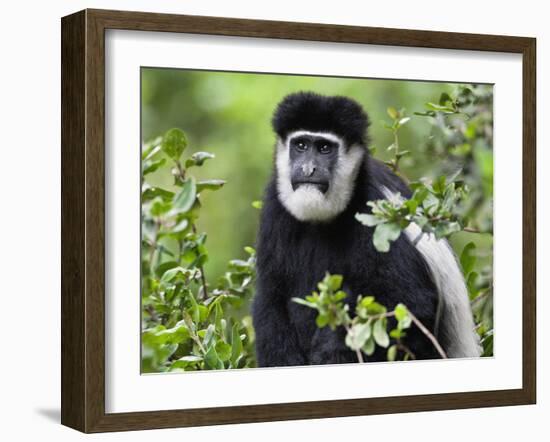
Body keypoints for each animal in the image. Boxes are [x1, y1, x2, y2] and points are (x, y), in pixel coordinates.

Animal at [252, 90, 480, 366]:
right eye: (301, 145)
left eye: (325, 148)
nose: (308, 169)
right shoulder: (275, 208)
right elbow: (271, 296)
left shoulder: (377, 213)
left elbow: (409, 304)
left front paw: (330, 354)